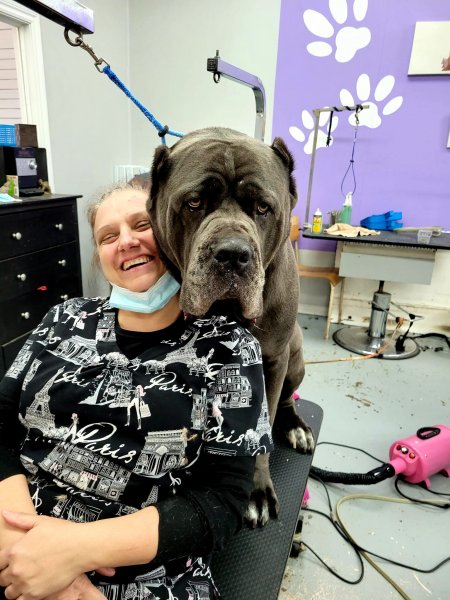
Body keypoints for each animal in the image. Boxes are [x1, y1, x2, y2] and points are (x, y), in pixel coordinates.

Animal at [147, 127, 314, 527]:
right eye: (194, 203)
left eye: (263, 208)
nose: (233, 254)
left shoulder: (272, 360)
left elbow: (263, 428)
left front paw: (256, 491)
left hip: (295, 357)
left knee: (288, 399)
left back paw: (296, 426)